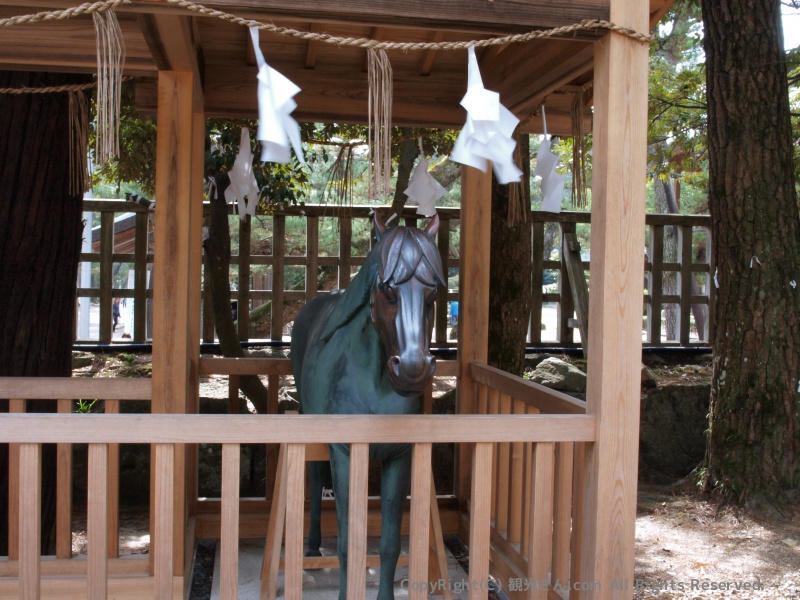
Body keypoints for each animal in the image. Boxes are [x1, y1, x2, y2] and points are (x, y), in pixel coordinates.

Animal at [290, 212, 444, 600]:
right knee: (316, 477)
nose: (412, 368)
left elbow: (388, 544)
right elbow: (349, 542)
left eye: (433, 292)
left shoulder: (398, 457)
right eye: (387, 290)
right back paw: (312, 545)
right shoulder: (345, 452)